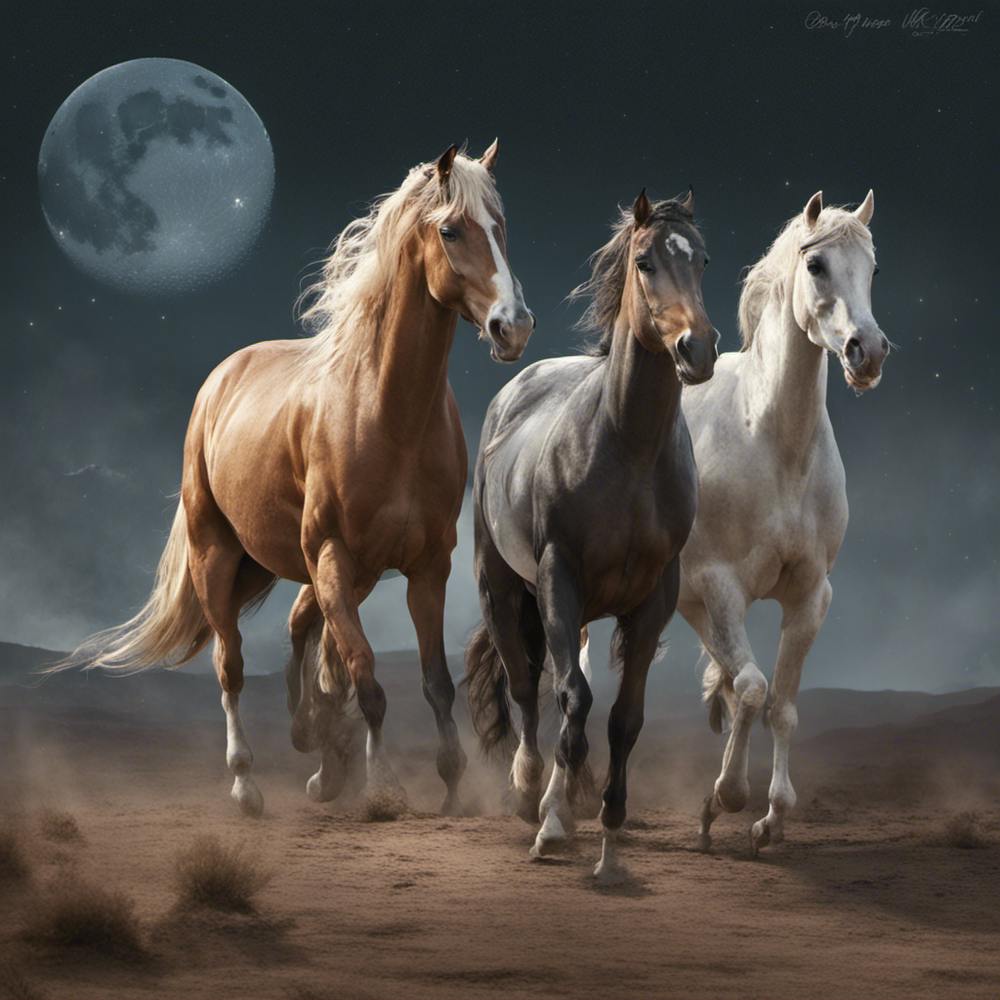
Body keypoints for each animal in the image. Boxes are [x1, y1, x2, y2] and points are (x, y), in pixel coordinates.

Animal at [55, 142, 535, 818]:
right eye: (450, 230)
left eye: (501, 228)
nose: (512, 326)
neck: (388, 413)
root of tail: (221, 378)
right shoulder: (334, 554)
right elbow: (366, 674)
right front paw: (383, 789)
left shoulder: (426, 568)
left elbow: (433, 681)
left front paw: (450, 785)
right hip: (223, 558)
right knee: (231, 664)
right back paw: (249, 783)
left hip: (324, 571)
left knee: (301, 630)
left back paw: (317, 748)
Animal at [466, 190, 718, 883]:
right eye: (644, 262)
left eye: (702, 258)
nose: (698, 349)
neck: (627, 450)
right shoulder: (560, 577)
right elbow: (571, 700)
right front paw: (552, 822)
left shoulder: (654, 598)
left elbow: (625, 719)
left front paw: (608, 837)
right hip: (506, 590)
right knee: (529, 688)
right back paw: (532, 791)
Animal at [677, 190, 888, 854]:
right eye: (816, 265)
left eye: (873, 271)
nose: (867, 353)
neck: (772, 440)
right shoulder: (723, 586)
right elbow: (751, 689)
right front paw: (727, 797)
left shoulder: (808, 596)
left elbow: (781, 704)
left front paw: (768, 817)